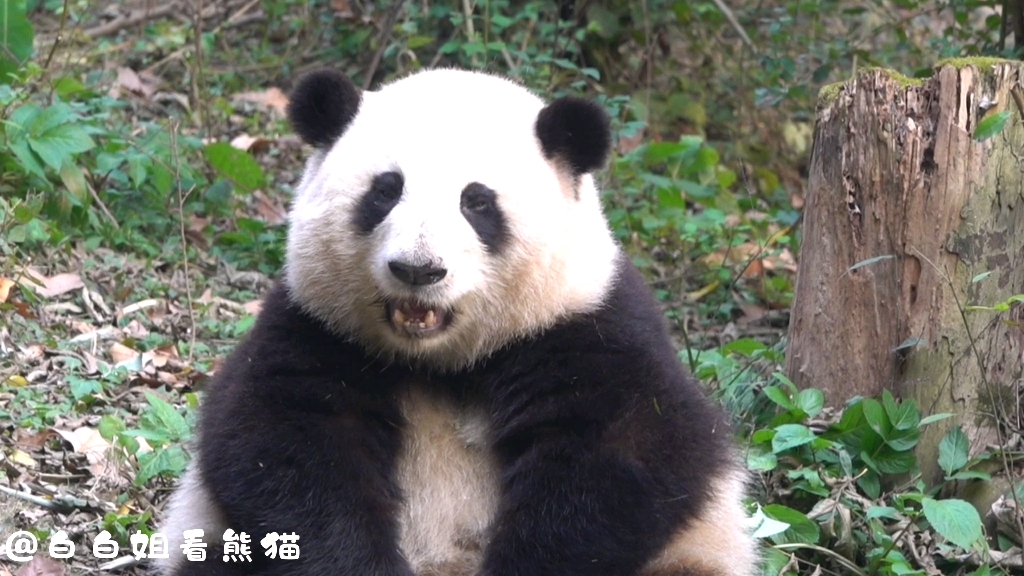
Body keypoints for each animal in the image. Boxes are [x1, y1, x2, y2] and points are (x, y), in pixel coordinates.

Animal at [153, 68, 761, 573]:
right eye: (385, 190)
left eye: (477, 202)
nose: (418, 269)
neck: (442, 364)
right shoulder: (318, 328)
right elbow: (282, 448)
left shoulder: (586, 327)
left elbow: (628, 458)